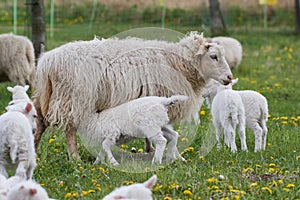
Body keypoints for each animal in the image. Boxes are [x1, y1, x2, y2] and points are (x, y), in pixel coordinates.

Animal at [34, 31, 233, 159]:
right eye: (214, 56)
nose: (230, 77)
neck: (177, 62)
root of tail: (47, 62)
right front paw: (169, 154)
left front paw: (149, 148)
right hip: (73, 98)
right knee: (69, 129)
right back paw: (74, 157)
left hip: (45, 97)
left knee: (40, 123)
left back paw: (35, 150)